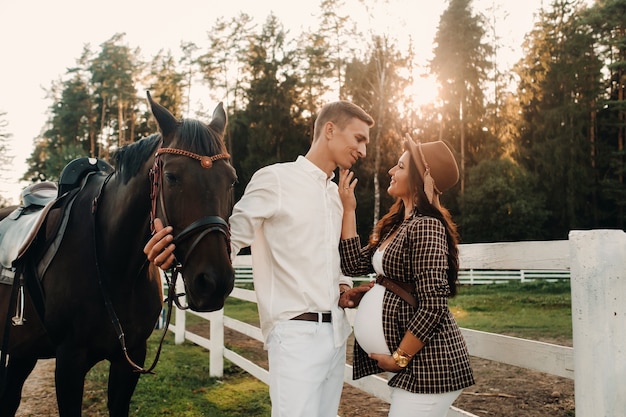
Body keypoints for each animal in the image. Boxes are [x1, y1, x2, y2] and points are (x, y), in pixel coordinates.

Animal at [0, 92, 236, 414]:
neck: (116, 267)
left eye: (232, 180)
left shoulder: (131, 359)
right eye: (172, 176)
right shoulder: (69, 362)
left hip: (22, 350)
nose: (213, 283)